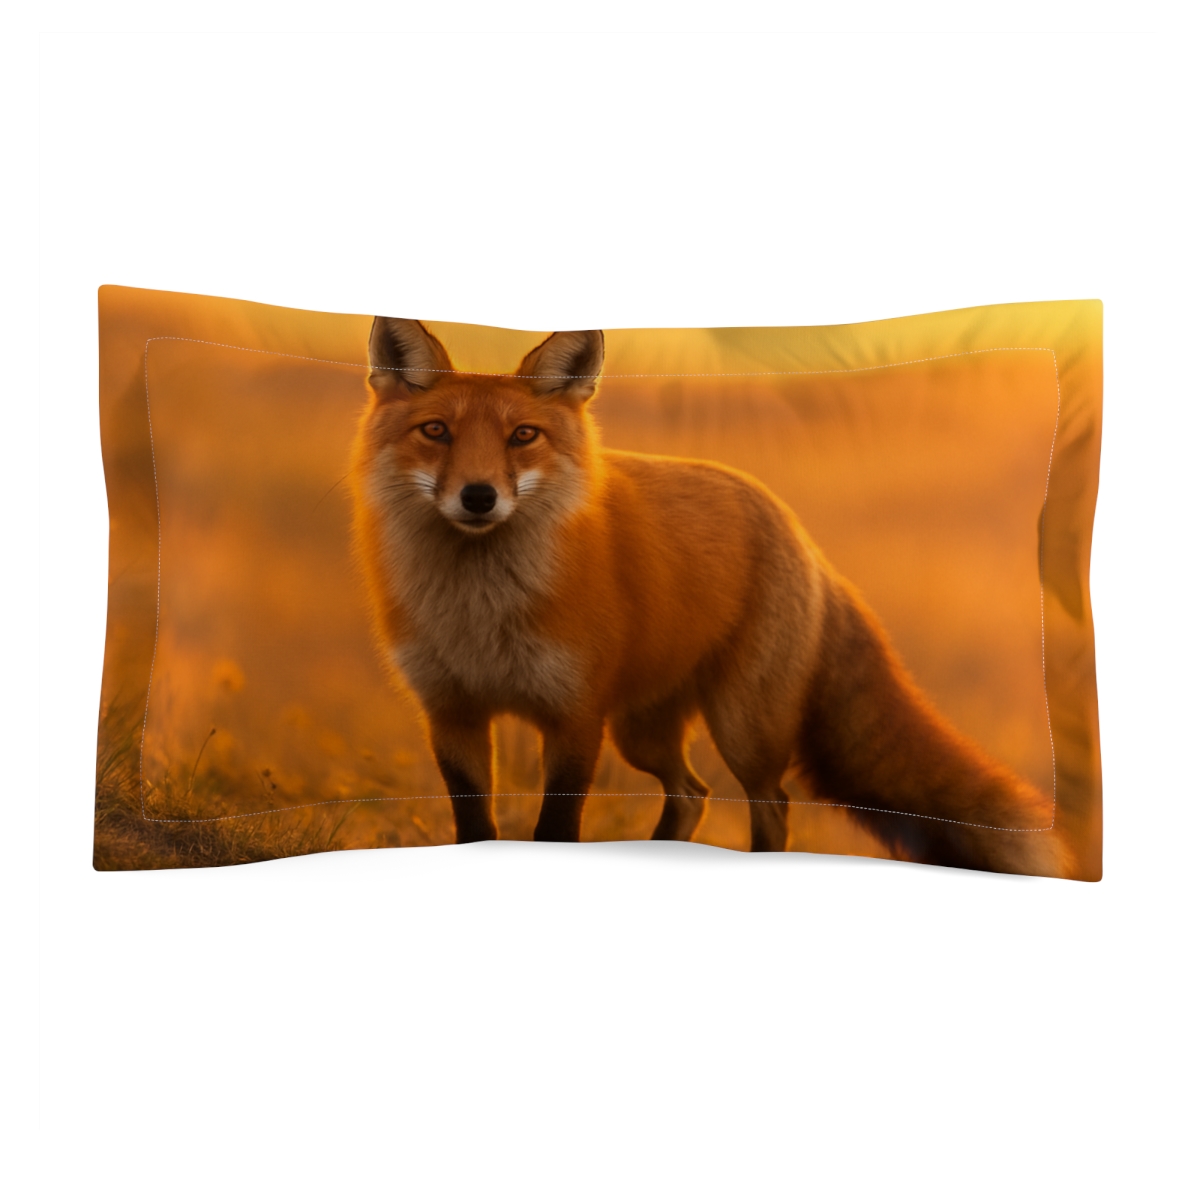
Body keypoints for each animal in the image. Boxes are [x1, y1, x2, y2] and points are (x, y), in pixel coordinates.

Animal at [350, 318, 1071, 876]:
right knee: (691, 792)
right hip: (640, 732)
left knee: (771, 803)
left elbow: (555, 829)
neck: (480, 615)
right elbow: (476, 829)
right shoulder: (452, 715)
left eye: (523, 436)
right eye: (436, 431)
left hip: (741, 726)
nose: (478, 497)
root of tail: (797, 531)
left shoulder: (574, 718)